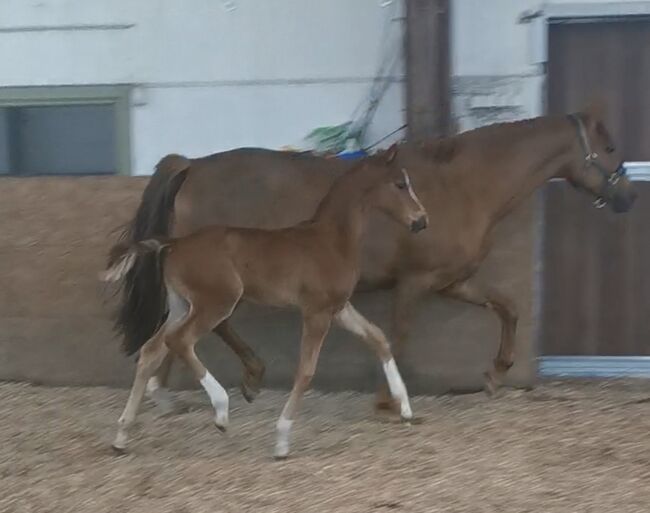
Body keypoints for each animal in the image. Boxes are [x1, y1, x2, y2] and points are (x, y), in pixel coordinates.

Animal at [101, 146, 426, 458]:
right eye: (400, 184)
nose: (421, 220)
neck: (330, 240)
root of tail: (175, 243)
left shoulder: (339, 308)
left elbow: (378, 338)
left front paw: (405, 408)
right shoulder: (316, 312)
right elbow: (306, 370)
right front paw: (281, 440)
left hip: (182, 305)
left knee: (151, 350)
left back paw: (121, 436)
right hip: (216, 303)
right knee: (180, 341)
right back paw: (221, 410)